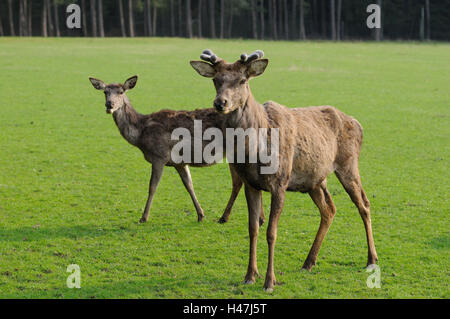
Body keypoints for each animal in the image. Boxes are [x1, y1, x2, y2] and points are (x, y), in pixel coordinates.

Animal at [88, 75, 264, 225]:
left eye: (121, 91)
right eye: (105, 92)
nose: (109, 105)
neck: (141, 134)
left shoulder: (159, 156)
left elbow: (152, 186)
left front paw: (143, 217)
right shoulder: (179, 162)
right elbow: (189, 185)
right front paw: (200, 215)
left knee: (238, 182)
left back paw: (225, 217)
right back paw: (258, 219)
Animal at [191, 50, 380, 292]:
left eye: (243, 80)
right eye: (216, 80)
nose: (220, 102)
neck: (255, 150)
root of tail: (358, 124)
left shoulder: (280, 182)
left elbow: (272, 232)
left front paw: (269, 281)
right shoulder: (251, 184)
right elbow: (253, 228)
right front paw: (250, 275)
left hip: (348, 165)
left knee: (364, 204)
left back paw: (371, 259)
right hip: (314, 180)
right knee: (329, 209)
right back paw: (309, 261)